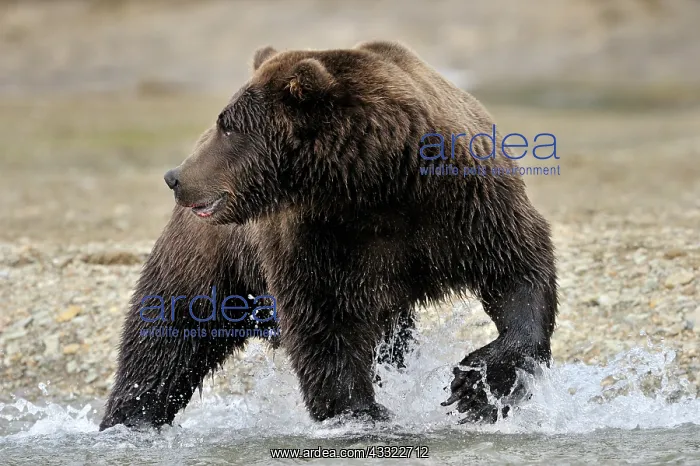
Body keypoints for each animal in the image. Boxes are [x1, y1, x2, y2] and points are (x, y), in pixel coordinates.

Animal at [99, 40, 557, 431]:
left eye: (228, 125)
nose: (176, 176)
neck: (375, 184)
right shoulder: (316, 237)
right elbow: (324, 326)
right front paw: (361, 414)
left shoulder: (465, 206)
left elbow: (519, 270)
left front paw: (477, 386)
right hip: (212, 256)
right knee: (167, 333)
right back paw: (130, 418)